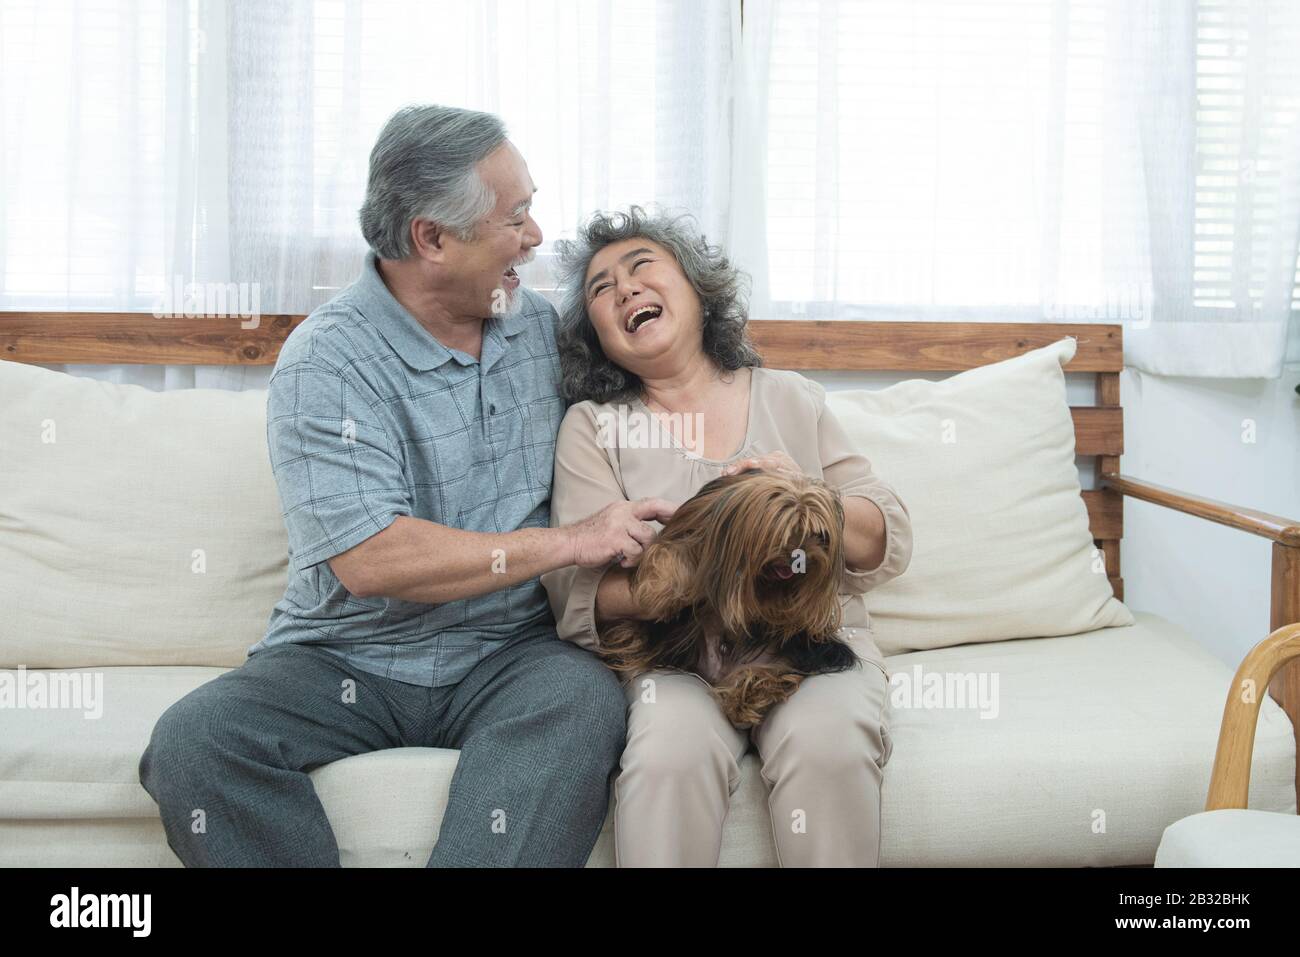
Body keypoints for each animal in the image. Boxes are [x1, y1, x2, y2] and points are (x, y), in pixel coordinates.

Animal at [595, 468, 857, 722]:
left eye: (819, 535)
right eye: (783, 529)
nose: (801, 559)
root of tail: (716, 674)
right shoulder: (692, 524)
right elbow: (672, 552)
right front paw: (662, 590)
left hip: (779, 659)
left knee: (766, 677)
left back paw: (747, 699)